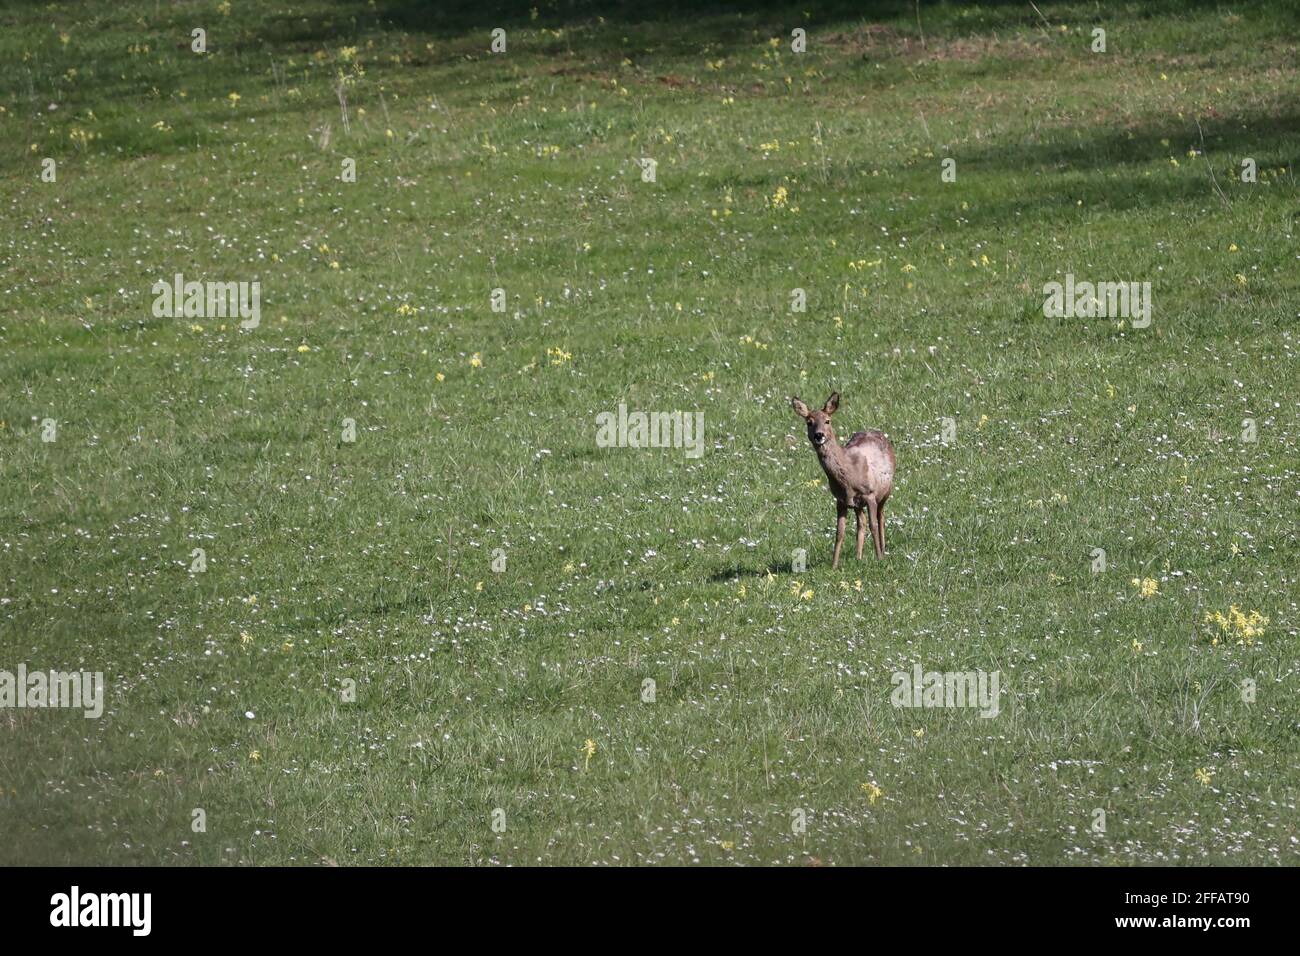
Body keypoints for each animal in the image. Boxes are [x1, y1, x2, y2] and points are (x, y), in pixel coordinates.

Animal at [791, 392, 895, 568]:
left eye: (828, 420)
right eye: (809, 422)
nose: (819, 435)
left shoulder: (870, 493)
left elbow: (873, 525)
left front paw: (879, 558)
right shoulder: (840, 500)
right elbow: (839, 532)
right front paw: (834, 565)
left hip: (885, 490)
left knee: (881, 517)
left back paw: (882, 551)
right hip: (857, 504)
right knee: (862, 522)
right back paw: (858, 557)